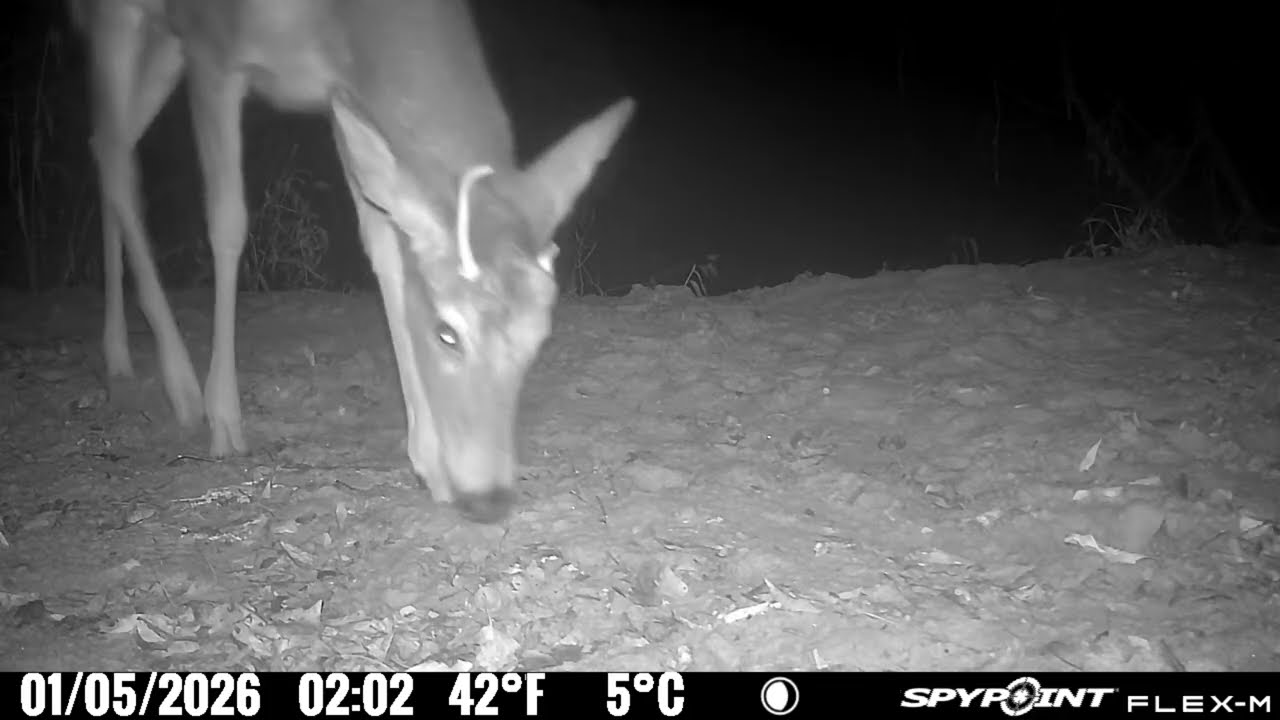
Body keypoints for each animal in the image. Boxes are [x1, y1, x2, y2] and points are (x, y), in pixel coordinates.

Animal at [67, 0, 635, 523]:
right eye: (446, 333)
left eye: (539, 337)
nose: (490, 499)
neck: (337, 19)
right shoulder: (212, 49)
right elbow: (227, 222)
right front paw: (223, 415)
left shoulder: (344, 90)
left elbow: (384, 245)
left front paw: (429, 460)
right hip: (123, 21)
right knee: (114, 152)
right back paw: (177, 381)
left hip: (163, 43)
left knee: (107, 145)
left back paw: (120, 353)